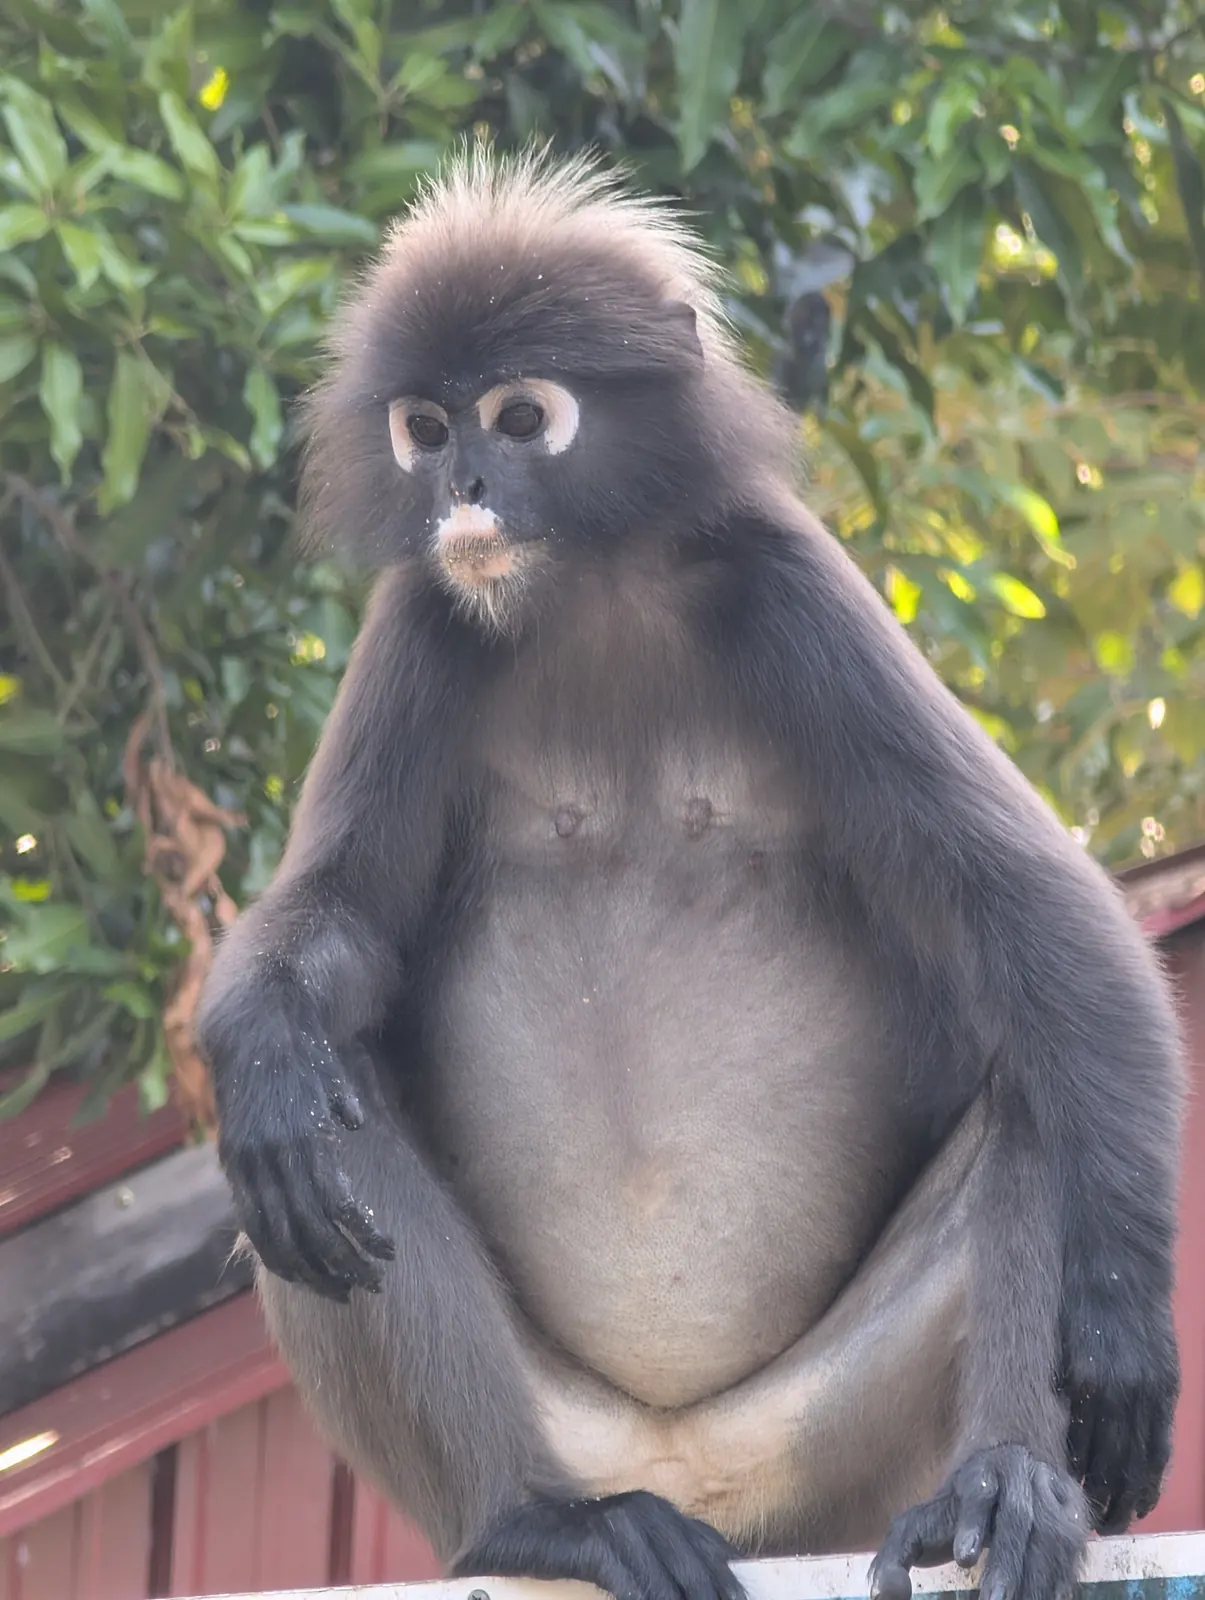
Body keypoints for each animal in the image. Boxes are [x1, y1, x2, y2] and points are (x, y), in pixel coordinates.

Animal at [196, 147, 1184, 1600]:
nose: (460, 490)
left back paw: (1001, 1485)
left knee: (1030, 1097)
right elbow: (341, 929)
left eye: (520, 417)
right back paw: (541, 1518)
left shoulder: (787, 588)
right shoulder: (425, 621)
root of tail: (686, 1469)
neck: (589, 587)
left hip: (826, 1455)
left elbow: (1039, 916)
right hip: (555, 1439)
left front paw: (1122, 1334)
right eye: (425, 430)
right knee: (320, 1122)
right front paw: (262, 1047)